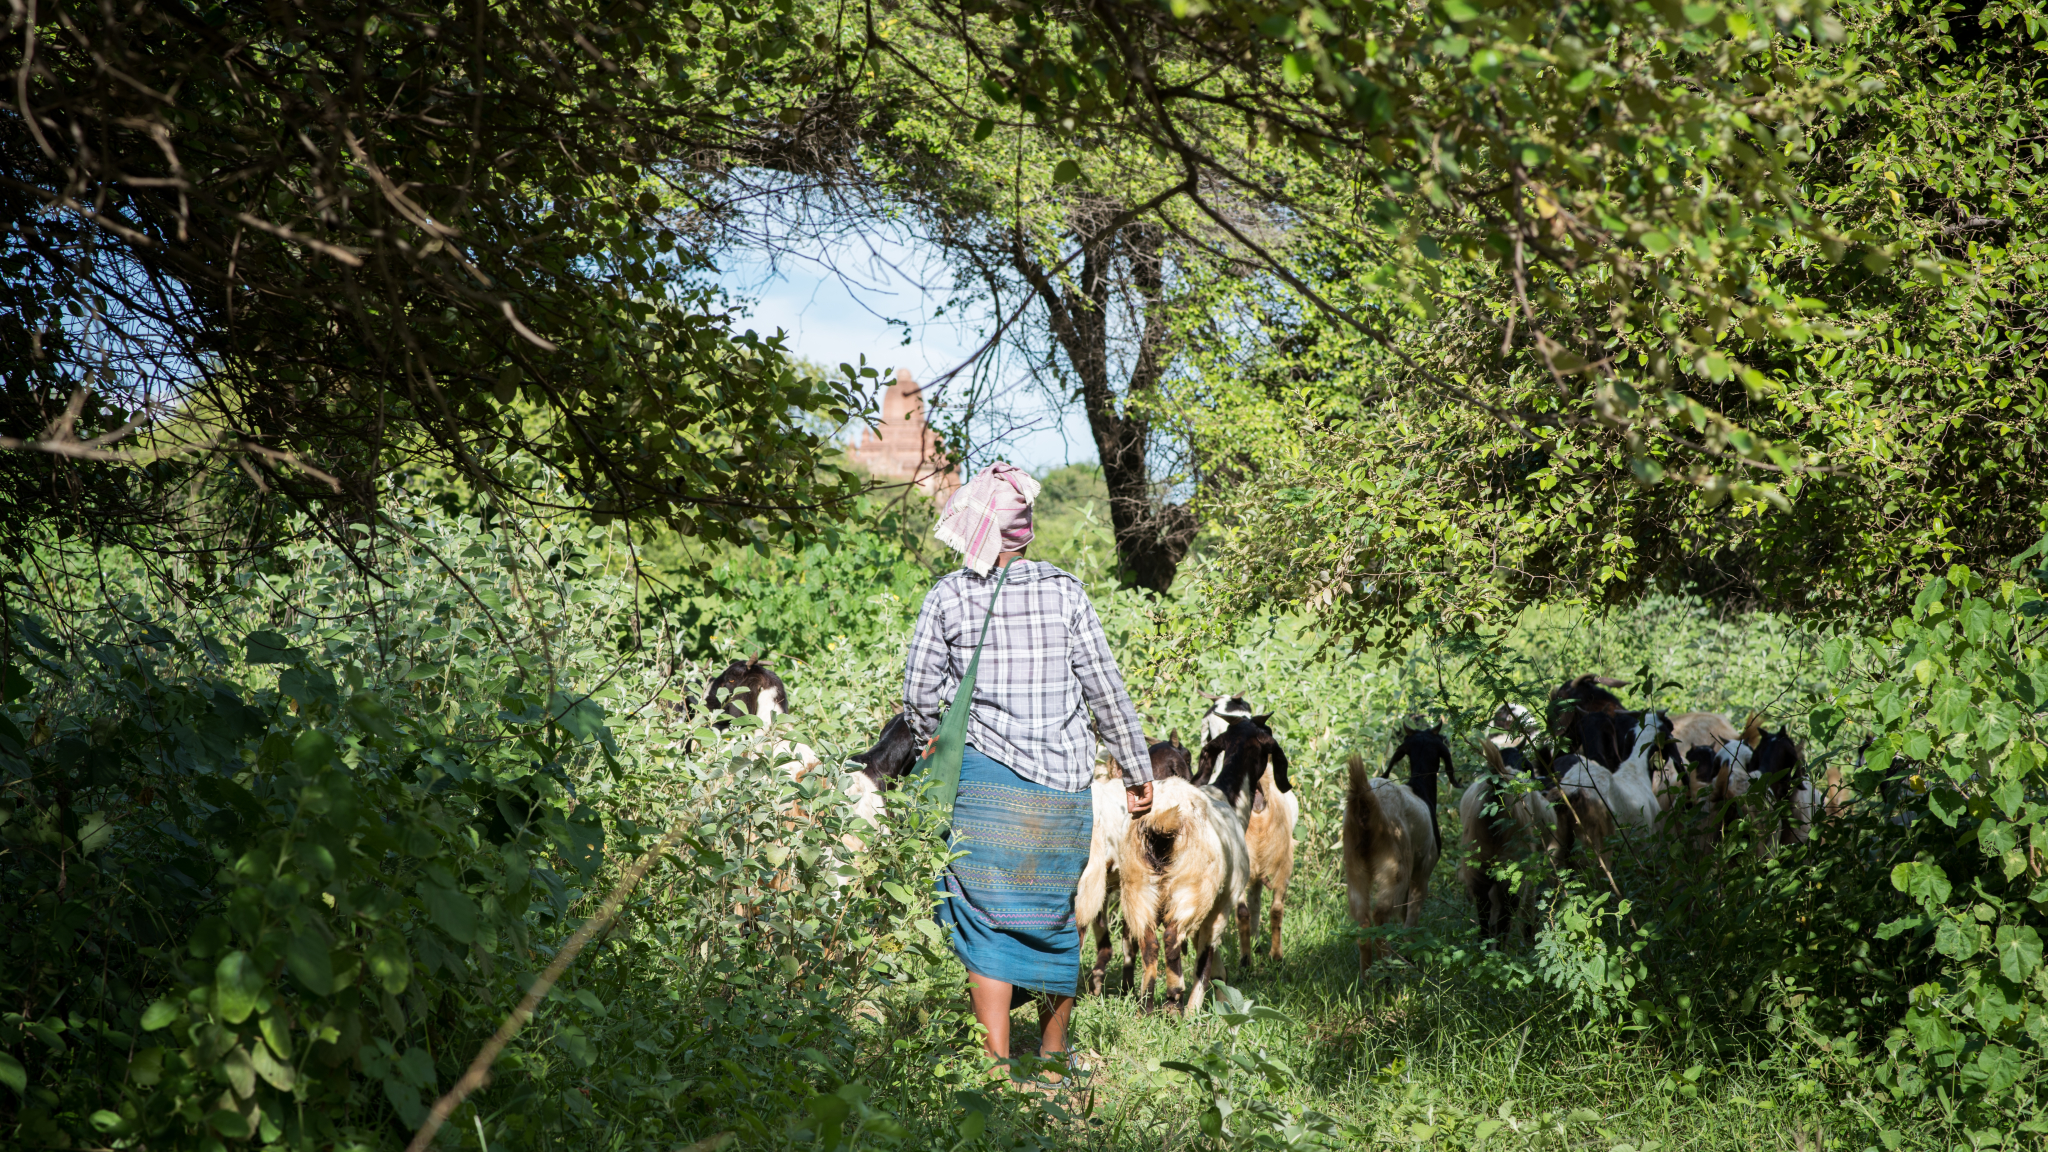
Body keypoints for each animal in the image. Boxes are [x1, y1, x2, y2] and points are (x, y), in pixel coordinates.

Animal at [1343, 746, 1441, 967]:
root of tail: (1366, 798)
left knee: (1363, 922)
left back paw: (1368, 973)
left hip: (1354, 864)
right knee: (1381, 914)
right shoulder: (1422, 871)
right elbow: (1410, 919)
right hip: (1395, 865)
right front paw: (1412, 955)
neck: (1419, 789)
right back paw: (1387, 967)